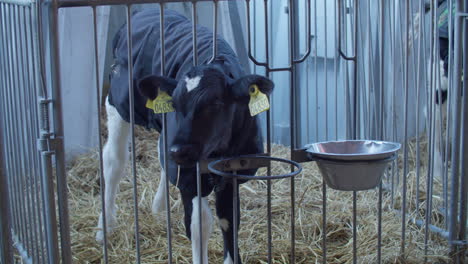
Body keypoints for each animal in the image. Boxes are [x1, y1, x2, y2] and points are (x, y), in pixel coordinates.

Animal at [96, 8, 274, 264]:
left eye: (216, 103)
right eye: (174, 103)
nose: (180, 151)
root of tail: (143, 10)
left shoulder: (233, 172)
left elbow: (229, 220)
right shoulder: (189, 177)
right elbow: (200, 224)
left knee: (161, 156)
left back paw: (158, 207)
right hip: (119, 100)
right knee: (114, 160)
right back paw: (105, 226)